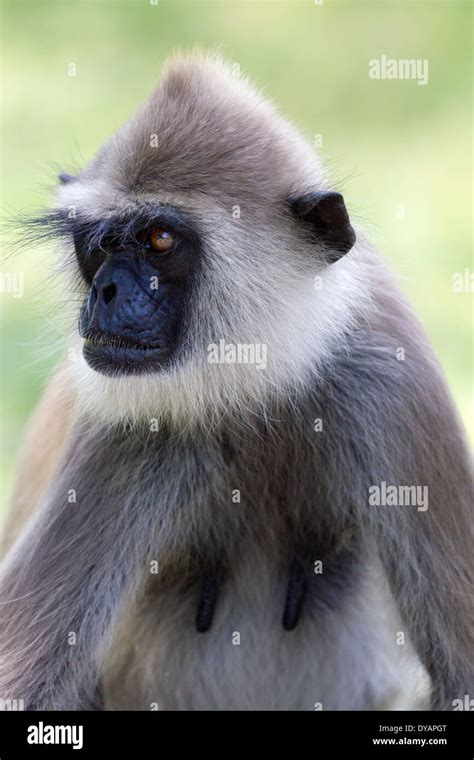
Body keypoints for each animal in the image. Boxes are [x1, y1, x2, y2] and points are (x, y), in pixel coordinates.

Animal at [0, 55, 474, 712]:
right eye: (99, 245)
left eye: (159, 240)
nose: (107, 291)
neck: (255, 386)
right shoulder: (122, 426)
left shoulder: (390, 375)